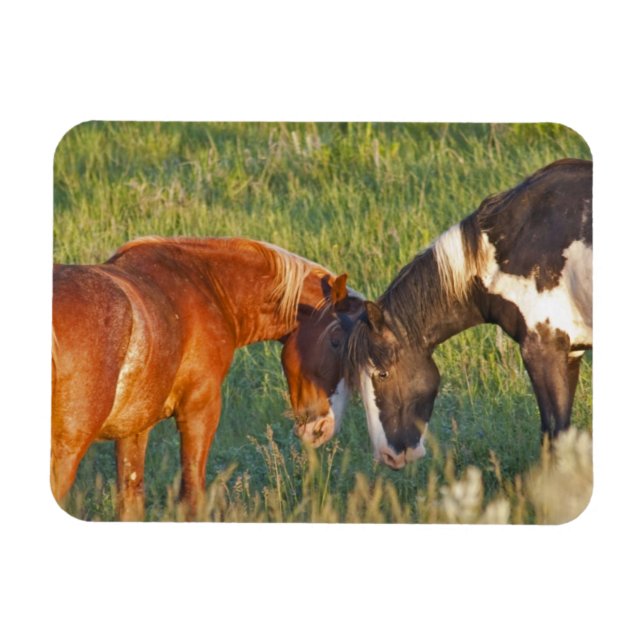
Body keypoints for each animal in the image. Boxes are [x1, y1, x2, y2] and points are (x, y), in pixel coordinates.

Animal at [52, 236, 364, 519]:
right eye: (335, 341)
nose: (322, 429)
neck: (208, 285)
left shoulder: (134, 429)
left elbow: (131, 503)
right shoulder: (199, 411)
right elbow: (191, 499)